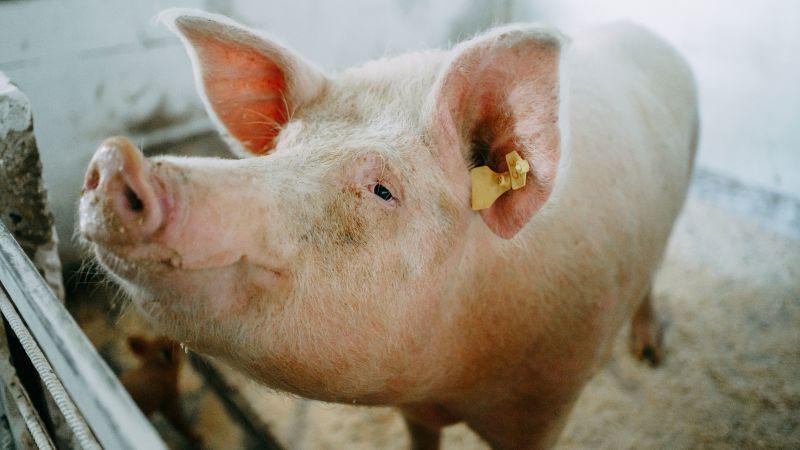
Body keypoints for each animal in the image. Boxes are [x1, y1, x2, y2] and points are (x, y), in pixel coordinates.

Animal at [78, 8, 698, 449]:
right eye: (281, 148)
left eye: (382, 189)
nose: (116, 160)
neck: (457, 375)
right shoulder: (415, 406)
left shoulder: (546, 402)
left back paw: (649, 354)